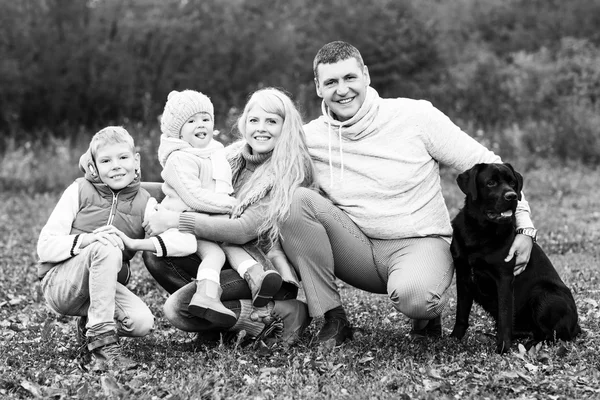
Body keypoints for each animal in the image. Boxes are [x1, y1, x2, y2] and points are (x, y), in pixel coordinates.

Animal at [450, 162, 580, 354]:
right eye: (490, 183)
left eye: (512, 183)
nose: (511, 196)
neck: (479, 231)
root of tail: (576, 325)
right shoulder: (463, 275)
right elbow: (461, 313)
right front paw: (453, 339)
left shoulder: (504, 279)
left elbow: (504, 316)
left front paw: (503, 348)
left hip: (542, 294)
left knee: (552, 335)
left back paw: (529, 344)